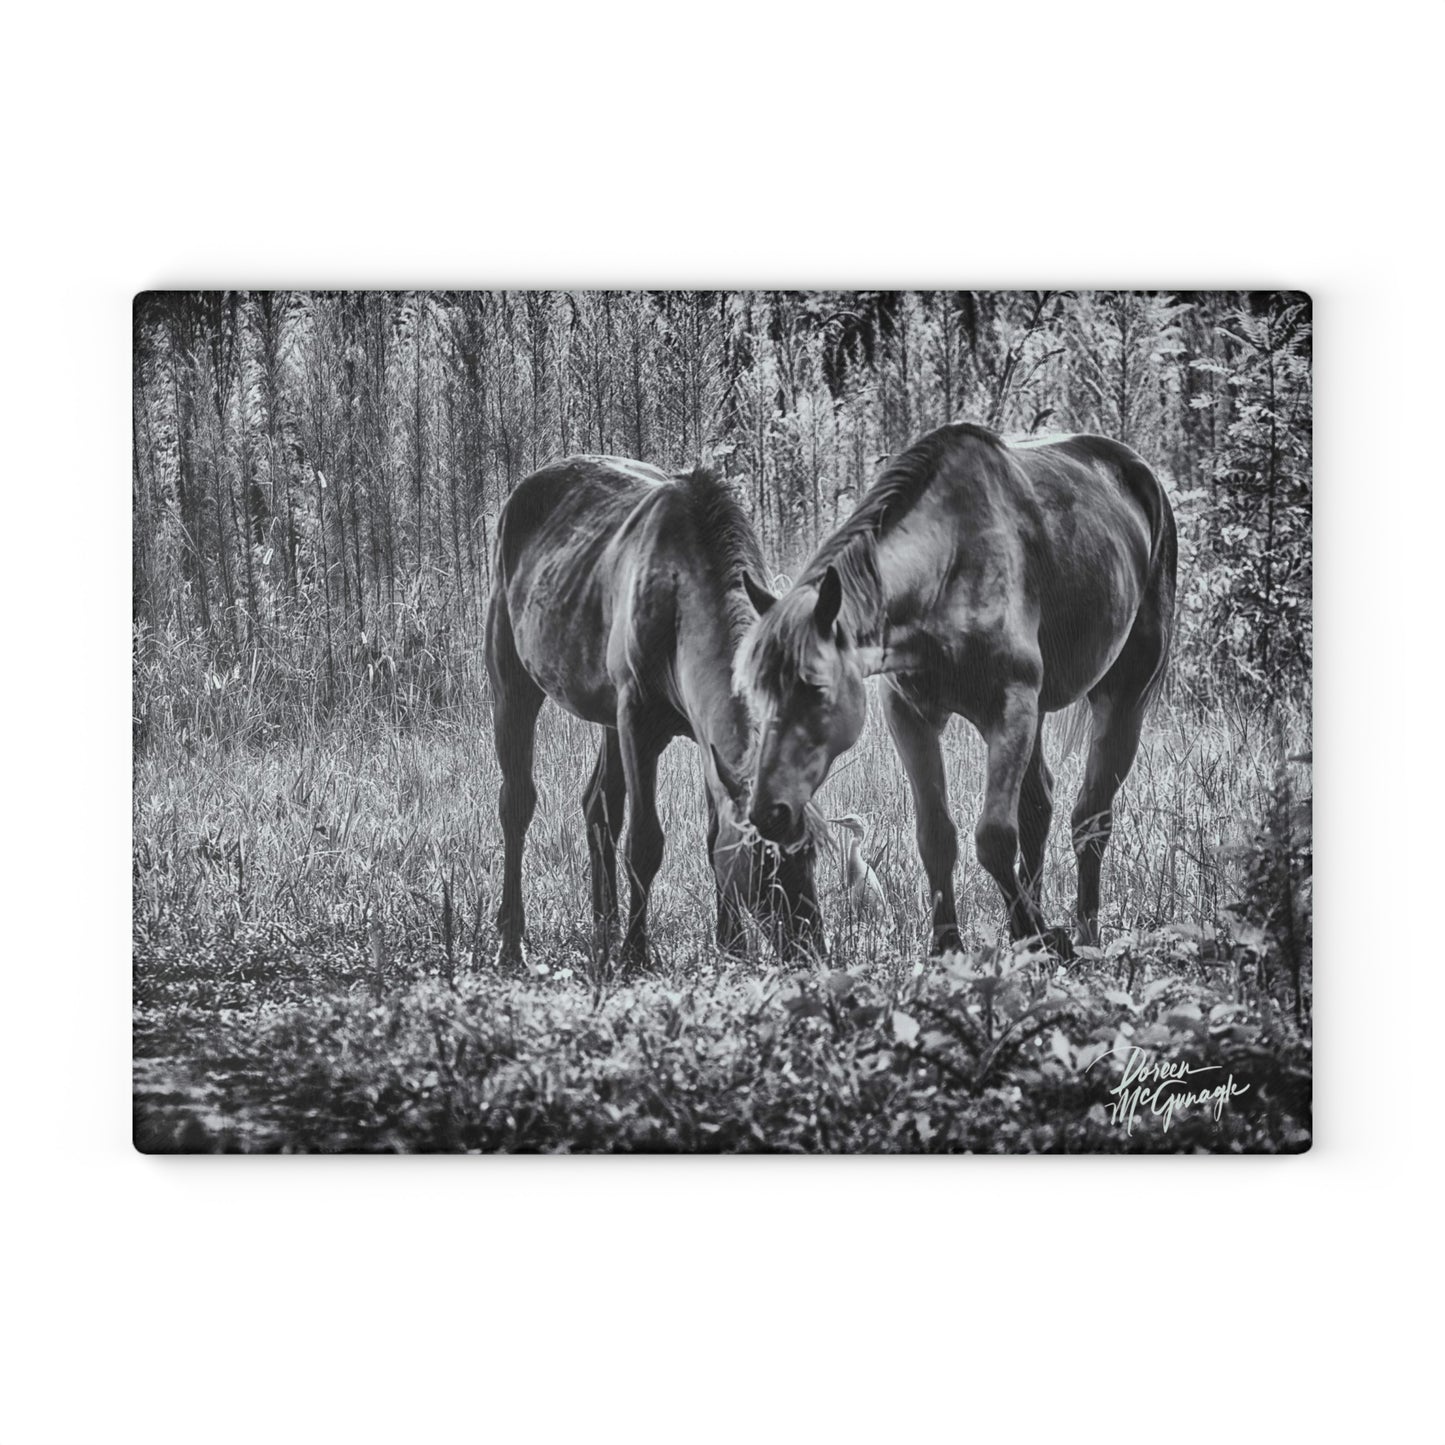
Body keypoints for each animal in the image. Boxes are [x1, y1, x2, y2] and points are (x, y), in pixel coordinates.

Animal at [485, 455, 822, 968]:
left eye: (812, 852)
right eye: (765, 862)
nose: (811, 950)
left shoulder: (703, 737)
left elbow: (712, 835)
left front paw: (731, 944)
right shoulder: (640, 726)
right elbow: (645, 843)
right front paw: (636, 954)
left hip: (608, 713)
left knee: (598, 805)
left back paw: (604, 926)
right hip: (513, 680)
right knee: (517, 802)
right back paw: (512, 939)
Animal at [735, 422, 1176, 956]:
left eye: (817, 690)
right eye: (757, 693)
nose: (767, 813)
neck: (949, 569)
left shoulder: (1010, 709)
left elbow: (993, 837)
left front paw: (1043, 935)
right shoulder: (910, 716)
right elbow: (937, 836)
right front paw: (950, 944)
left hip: (1122, 697)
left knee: (1091, 817)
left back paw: (1085, 934)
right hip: (1037, 714)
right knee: (1040, 806)